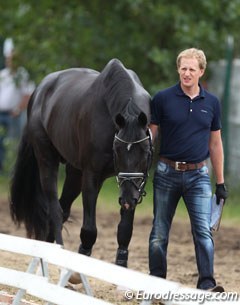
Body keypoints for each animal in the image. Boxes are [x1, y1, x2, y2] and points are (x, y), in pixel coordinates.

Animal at [9, 58, 152, 268]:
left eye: (144, 151)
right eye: (117, 149)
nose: (127, 200)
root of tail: (39, 91)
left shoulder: (133, 186)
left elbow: (125, 230)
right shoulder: (92, 175)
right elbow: (89, 230)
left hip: (75, 173)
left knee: (63, 209)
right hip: (47, 159)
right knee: (55, 210)